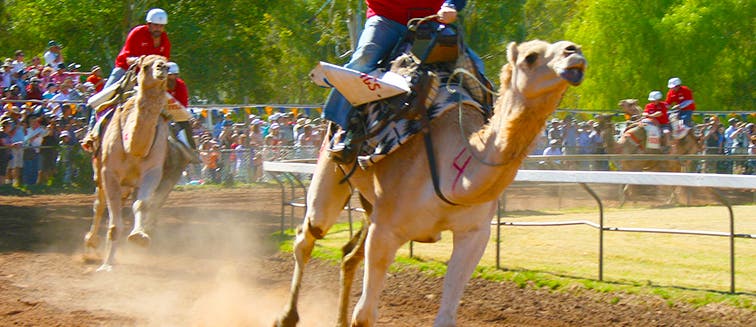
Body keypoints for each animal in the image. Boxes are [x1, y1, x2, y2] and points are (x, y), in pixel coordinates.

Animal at [84, 55, 173, 272]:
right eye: (145, 66)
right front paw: (107, 265)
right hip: (100, 174)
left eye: (166, 62)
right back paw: (91, 242)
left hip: (128, 184)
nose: (161, 68)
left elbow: (141, 204)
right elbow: (114, 223)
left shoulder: (152, 172)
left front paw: (139, 236)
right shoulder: (109, 173)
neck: (133, 148)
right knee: (99, 205)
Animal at [274, 39, 588, 326]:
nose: (574, 52)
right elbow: (364, 315)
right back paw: (286, 316)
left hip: (369, 206)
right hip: (330, 170)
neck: (452, 175)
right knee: (307, 236)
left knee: (348, 256)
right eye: (531, 56)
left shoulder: (474, 233)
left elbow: (446, 316)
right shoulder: (385, 230)